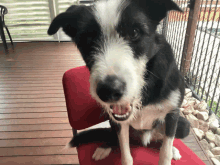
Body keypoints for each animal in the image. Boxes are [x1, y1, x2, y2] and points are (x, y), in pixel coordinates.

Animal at [49, 0, 190, 164]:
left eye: (134, 32)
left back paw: (173, 149)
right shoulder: (119, 123)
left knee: (164, 139)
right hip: (112, 121)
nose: (109, 90)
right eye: (87, 39)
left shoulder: (173, 113)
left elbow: (165, 151)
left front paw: (169, 151)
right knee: (113, 136)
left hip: (184, 125)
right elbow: (125, 152)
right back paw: (104, 147)